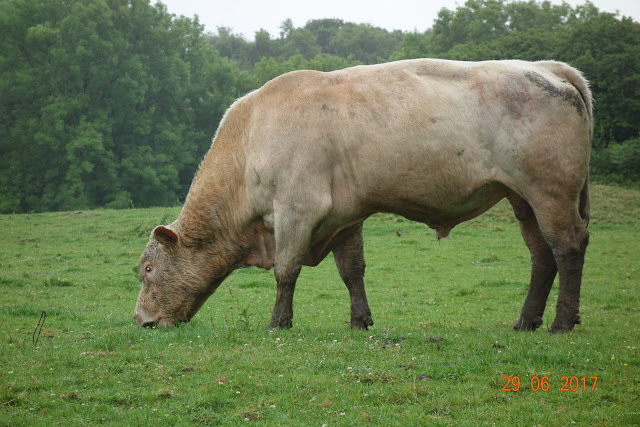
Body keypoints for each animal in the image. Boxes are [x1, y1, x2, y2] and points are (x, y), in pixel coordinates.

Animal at [134, 59, 591, 333]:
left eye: (148, 269)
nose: (140, 320)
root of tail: (543, 66)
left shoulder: (297, 208)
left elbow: (286, 270)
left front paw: (278, 322)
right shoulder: (344, 215)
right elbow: (352, 270)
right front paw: (360, 320)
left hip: (550, 193)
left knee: (567, 246)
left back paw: (562, 322)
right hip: (523, 200)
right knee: (542, 256)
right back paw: (526, 321)